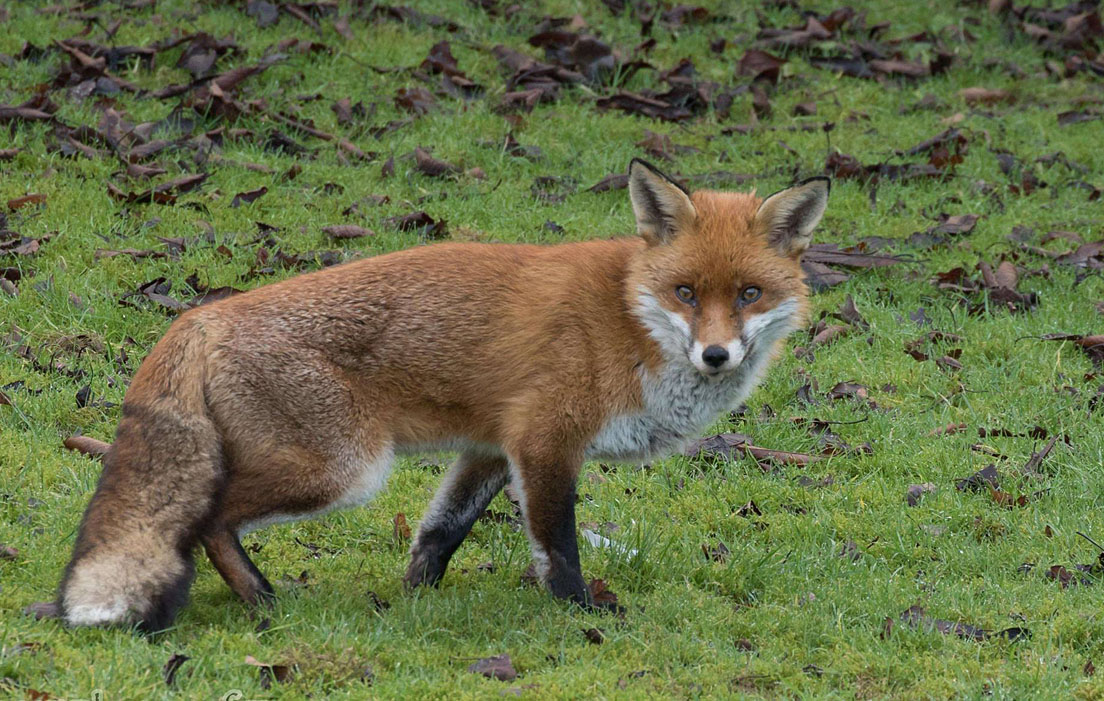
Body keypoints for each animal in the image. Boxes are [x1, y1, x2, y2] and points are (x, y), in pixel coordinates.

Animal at [53, 158, 830, 631]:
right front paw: (581, 613)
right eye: (687, 292)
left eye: (750, 294)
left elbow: (440, 532)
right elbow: (558, 545)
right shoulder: (546, 441)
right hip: (344, 469)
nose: (716, 354)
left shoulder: (491, 446)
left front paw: (413, 603)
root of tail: (199, 315)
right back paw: (261, 599)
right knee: (208, 518)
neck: (630, 319)